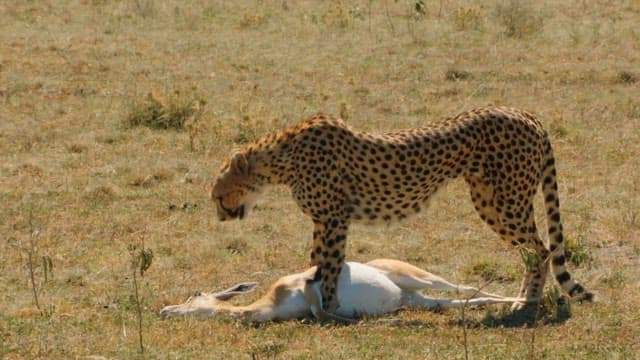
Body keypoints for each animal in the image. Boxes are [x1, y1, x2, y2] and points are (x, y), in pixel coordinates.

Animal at [211, 107, 596, 312]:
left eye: (217, 195)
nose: (219, 215)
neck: (281, 161)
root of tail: (525, 113)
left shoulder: (335, 218)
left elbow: (331, 264)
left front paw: (331, 306)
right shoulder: (323, 220)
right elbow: (316, 261)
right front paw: (314, 298)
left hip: (507, 201)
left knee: (541, 250)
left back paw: (527, 301)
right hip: (489, 200)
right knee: (533, 250)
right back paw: (524, 297)